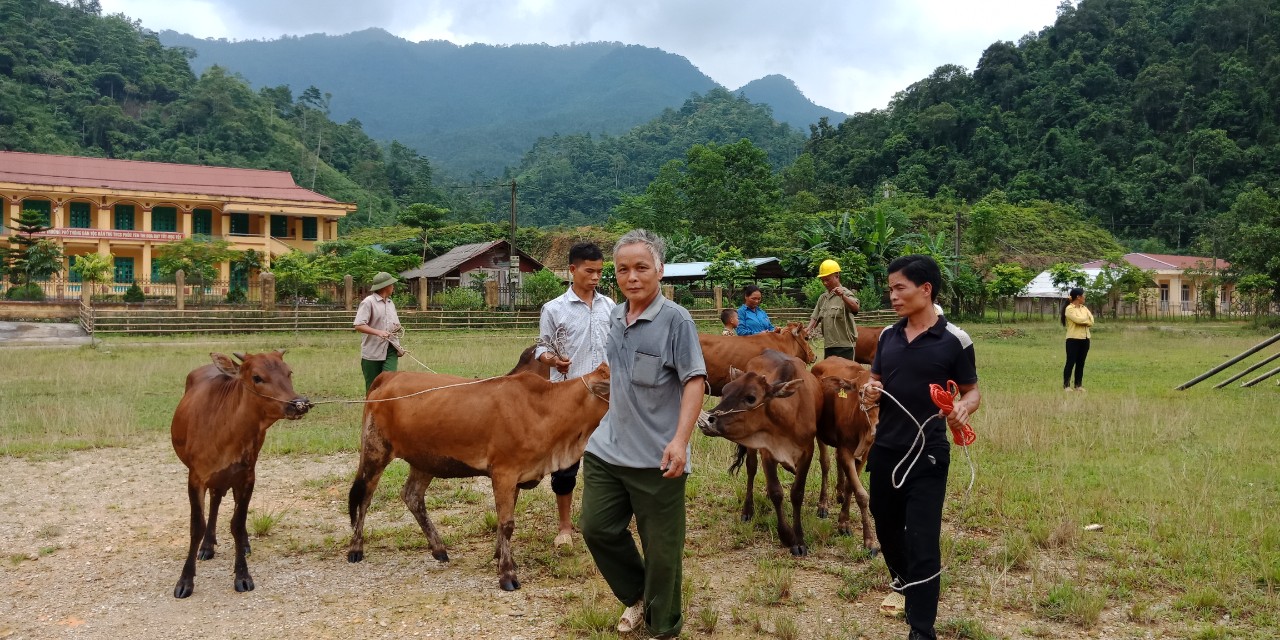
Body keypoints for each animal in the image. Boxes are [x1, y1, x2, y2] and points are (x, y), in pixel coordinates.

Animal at [170, 350, 309, 599]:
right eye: (257, 377)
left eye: (289, 372)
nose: (299, 404)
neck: (227, 432)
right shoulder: (196, 476)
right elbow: (196, 526)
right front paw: (185, 581)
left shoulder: (247, 476)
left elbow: (237, 522)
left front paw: (242, 575)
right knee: (215, 501)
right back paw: (207, 546)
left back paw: (241, 545)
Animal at [348, 363, 611, 591]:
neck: (545, 409)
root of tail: (390, 376)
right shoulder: (504, 472)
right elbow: (507, 524)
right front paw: (507, 574)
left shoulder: (516, 477)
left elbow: (505, 522)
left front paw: (502, 558)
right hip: (375, 450)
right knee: (365, 497)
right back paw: (355, 548)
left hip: (425, 461)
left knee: (412, 496)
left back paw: (439, 549)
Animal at [701, 350, 819, 555]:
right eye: (724, 391)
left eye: (751, 398)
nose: (707, 421)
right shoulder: (767, 452)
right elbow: (776, 492)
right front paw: (787, 536)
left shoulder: (807, 452)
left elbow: (797, 493)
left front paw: (799, 540)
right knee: (751, 470)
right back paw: (748, 511)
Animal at [814, 355, 875, 550]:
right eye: (861, 393)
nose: (875, 428)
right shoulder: (846, 450)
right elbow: (861, 494)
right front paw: (869, 540)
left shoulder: (864, 454)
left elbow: (851, 486)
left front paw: (844, 521)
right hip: (819, 432)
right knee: (825, 462)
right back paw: (823, 505)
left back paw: (839, 492)